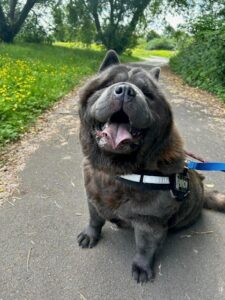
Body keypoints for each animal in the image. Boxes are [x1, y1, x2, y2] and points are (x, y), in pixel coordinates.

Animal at [77, 50, 225, 282]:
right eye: (108, 84)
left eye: (147, 94)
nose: (125, 90)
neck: (118, 171)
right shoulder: (93, 199)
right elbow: (95, 220)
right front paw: (90, 235)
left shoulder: (150, 222)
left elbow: (144, 248)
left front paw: (142, 267)